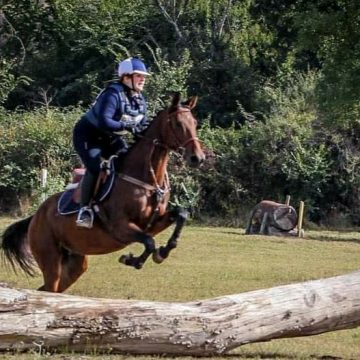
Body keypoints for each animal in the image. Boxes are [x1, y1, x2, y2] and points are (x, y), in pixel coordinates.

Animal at [1, 92, 205, 292]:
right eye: (177, 124)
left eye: (195, 123)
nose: (198, 158)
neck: (146, 178)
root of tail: (35, 217)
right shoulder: (120, 227)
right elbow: (148, 242)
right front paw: (133, 260)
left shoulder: (153, 222)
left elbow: (181, 214)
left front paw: (162, 252)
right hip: (50, 259)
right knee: (49, 286)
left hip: (75, 263)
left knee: (48, 289)